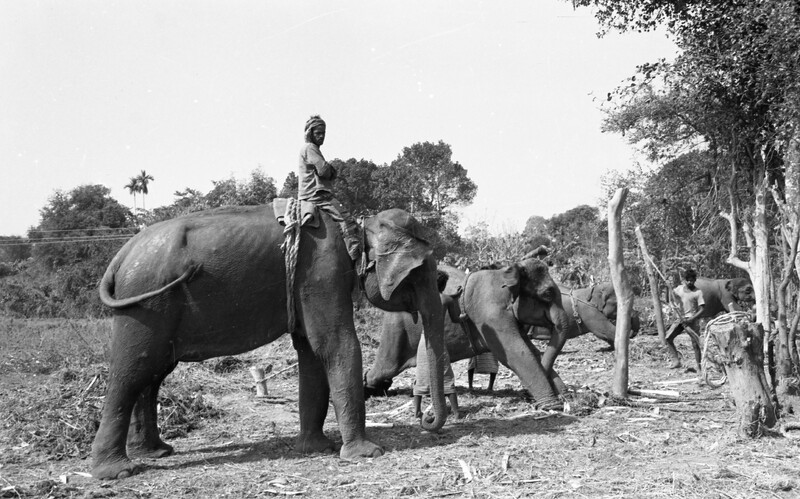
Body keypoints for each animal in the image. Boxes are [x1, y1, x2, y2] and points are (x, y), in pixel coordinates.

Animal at [91, 206, 447, 480]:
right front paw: (367, 453)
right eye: (426, 273)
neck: (355, 225)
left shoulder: (308, 283)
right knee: (131, 372)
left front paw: (317, 449)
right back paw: (117, 471)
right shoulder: (322, 272)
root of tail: (120, 256)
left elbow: (310, 352)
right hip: (145, 305)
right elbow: (335, 345)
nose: (427, 421)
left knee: (152, 374)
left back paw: (157, 452)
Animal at [364, 259, 579, 409]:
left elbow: (532, 351)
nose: (526, 396)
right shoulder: (490, 314)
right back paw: (370, 388)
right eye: (548, 293)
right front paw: (552, 406)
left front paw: (568, 398)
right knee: (386, 366)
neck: (508, 271)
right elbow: (516, 353)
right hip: (396, 331)